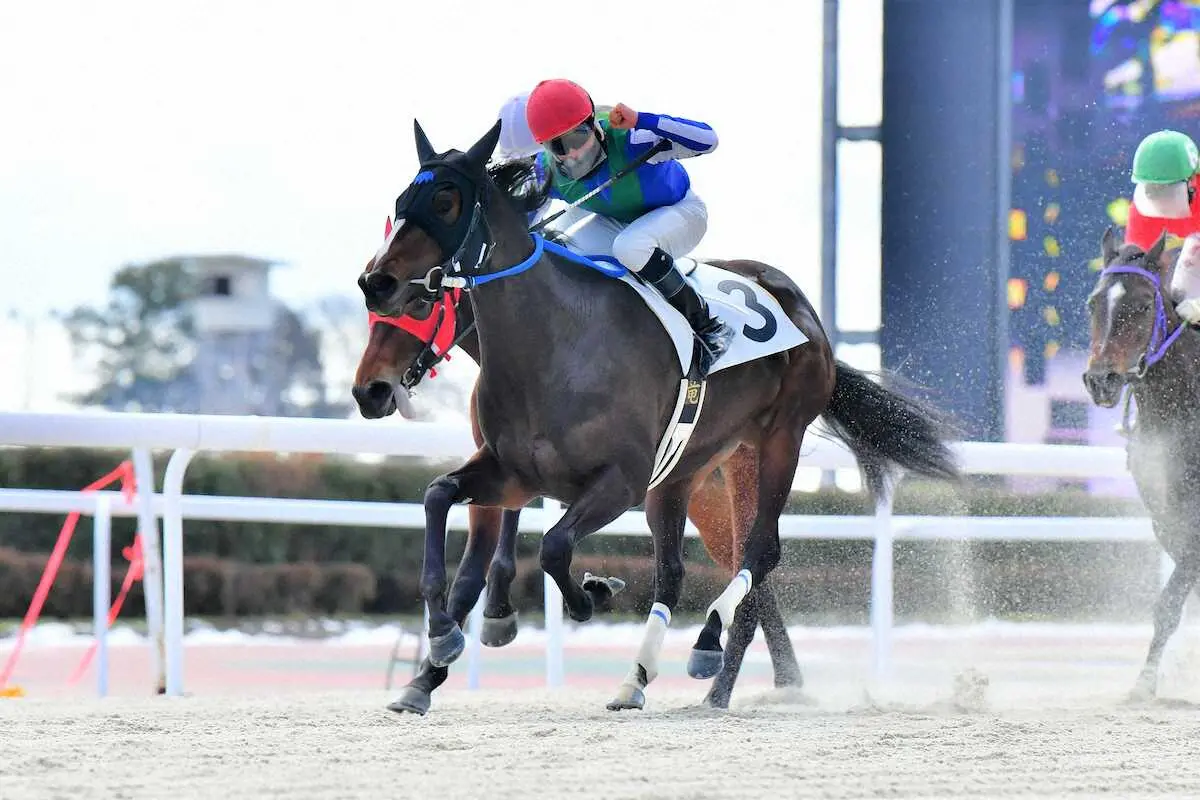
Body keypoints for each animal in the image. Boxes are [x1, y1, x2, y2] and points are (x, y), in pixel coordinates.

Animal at [352, 239, 803, 713]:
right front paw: (432, 671)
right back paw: (762, 678)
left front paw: (482, 623)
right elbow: (474, 556)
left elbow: (477, 569)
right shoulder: (504, 469)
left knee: (750, 563)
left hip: (721, 486)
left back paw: (723, 677)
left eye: (421, 304)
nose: (369, 391)